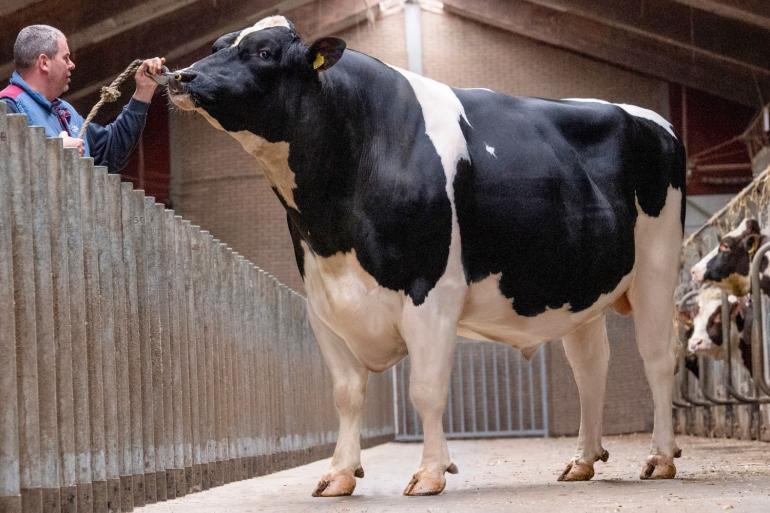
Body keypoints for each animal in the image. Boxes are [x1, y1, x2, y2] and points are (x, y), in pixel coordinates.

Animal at [168, 17, 684, 496]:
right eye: (216, 46)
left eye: (263, 51)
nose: (180, 76)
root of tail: (654, 120)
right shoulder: (323, 303)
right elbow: (346, 393)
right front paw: (339, 474)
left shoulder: (432, 293)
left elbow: (427, 390)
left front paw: (432, 472)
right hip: (581, 291)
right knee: (590, 369)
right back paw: (582, 461)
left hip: (657, 269)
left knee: (658, 358)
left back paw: (661, 458)